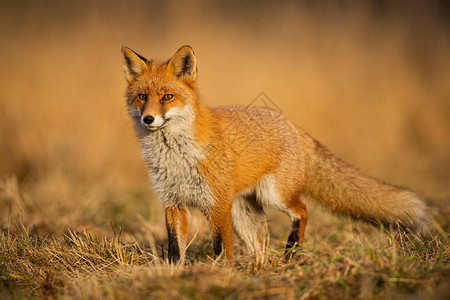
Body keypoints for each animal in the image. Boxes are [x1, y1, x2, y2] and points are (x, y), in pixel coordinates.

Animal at [121, 45, 430, 264]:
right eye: (142, 97)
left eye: (167, 97)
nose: (148, 119)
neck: (175, 157)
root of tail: (293, 126)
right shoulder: (173, 203)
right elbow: (175, 249)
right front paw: (175, 274)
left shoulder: (217, 205)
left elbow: (222, 248)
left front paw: (222, 273)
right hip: (244, 213)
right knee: (260, 246)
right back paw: (260, 269)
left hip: (274, 195)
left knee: (302, 211)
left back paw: (291, 253)